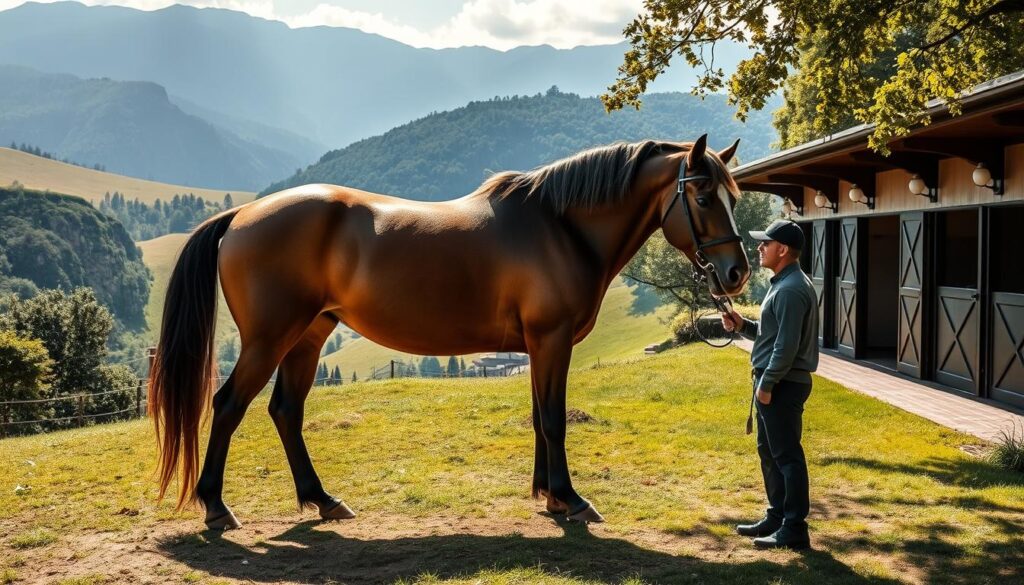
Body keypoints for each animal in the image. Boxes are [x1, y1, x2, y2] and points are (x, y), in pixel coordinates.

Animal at [146, 136, 753, 532]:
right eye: (703, 198)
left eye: (735, 198)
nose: (736, 274)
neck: (560, 226)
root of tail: (241, 216)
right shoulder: (551, 339)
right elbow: (553, 419)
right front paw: (570, 498)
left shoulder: (537, 346)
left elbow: (540, 415)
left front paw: (547, 496)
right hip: (270, 339)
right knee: (228, 405)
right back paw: (217, 507)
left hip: (309, 336)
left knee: (285, 412)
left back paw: (322, 500)